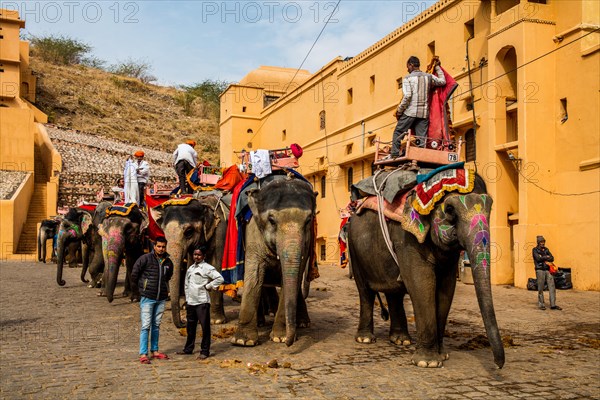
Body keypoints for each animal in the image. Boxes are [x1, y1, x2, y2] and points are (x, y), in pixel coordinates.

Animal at [150, 195, 230, 328]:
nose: (184, 322)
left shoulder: (220, 233)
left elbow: (216, 265)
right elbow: (191, 264)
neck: (203, 204)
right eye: (165, 234)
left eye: (188, 232)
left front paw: (216, 321)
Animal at [231, 175, 318, 346]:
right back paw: (260, 323)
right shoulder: (252, 231)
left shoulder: (306, 242)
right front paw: (243, 341)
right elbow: (254, 275)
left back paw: (303, 323)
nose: (289, 343)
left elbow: (293, 276)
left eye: (308, 220)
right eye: (271, 220)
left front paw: (279, 337)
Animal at [346, 166, 506, 368]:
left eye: (491, 207)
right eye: (450, 210)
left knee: (394, 292)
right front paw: (428, 362)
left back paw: (401, 340)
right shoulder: (406, 238)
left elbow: (446, 288)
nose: (497, 365)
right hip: (355, 250)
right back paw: (365, 339)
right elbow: (422, 283)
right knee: (365, 291)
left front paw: (442, 355)